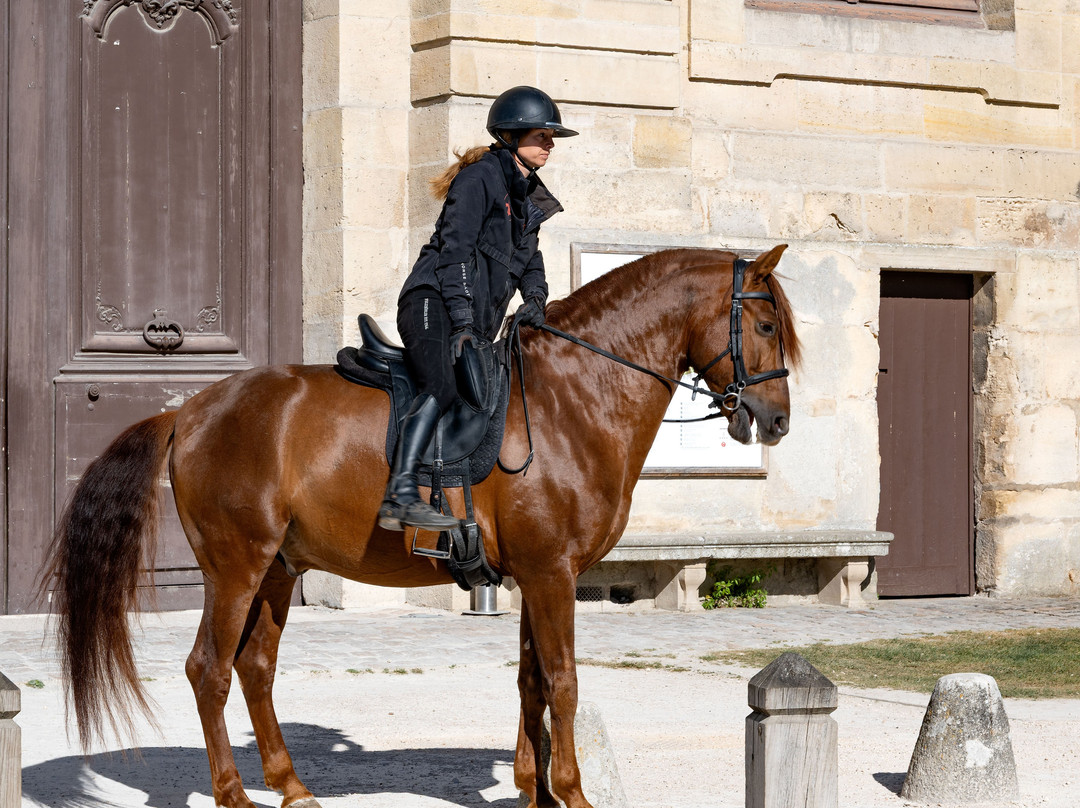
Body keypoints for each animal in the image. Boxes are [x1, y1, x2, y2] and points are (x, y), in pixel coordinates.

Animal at [43, 245, 801, 808]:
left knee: (254, 668)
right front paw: (570, 792)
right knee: (209, 669)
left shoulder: (534, 577)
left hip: (277, 570)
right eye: (767, 328)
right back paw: (233, 792)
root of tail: (191, 408)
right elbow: (563, 683)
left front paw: (533, 789)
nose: (776, 421)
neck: (573, 397)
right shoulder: (552, 575)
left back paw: (291, 785)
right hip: (235, 567)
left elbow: (531, 683)